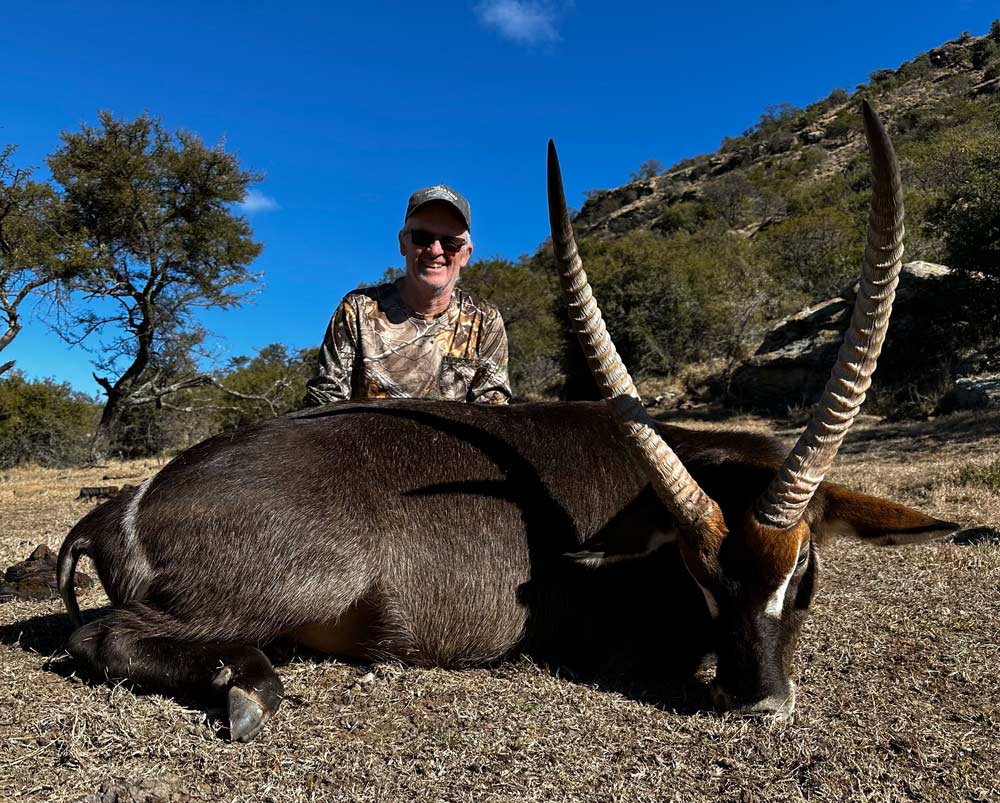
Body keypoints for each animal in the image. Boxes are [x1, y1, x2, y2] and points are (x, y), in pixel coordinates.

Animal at [58, 103, 956, 744]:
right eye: (697, 573)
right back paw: (247, 689)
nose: (758, 703)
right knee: (103, 639)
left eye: (803, 574)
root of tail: (125, 504)